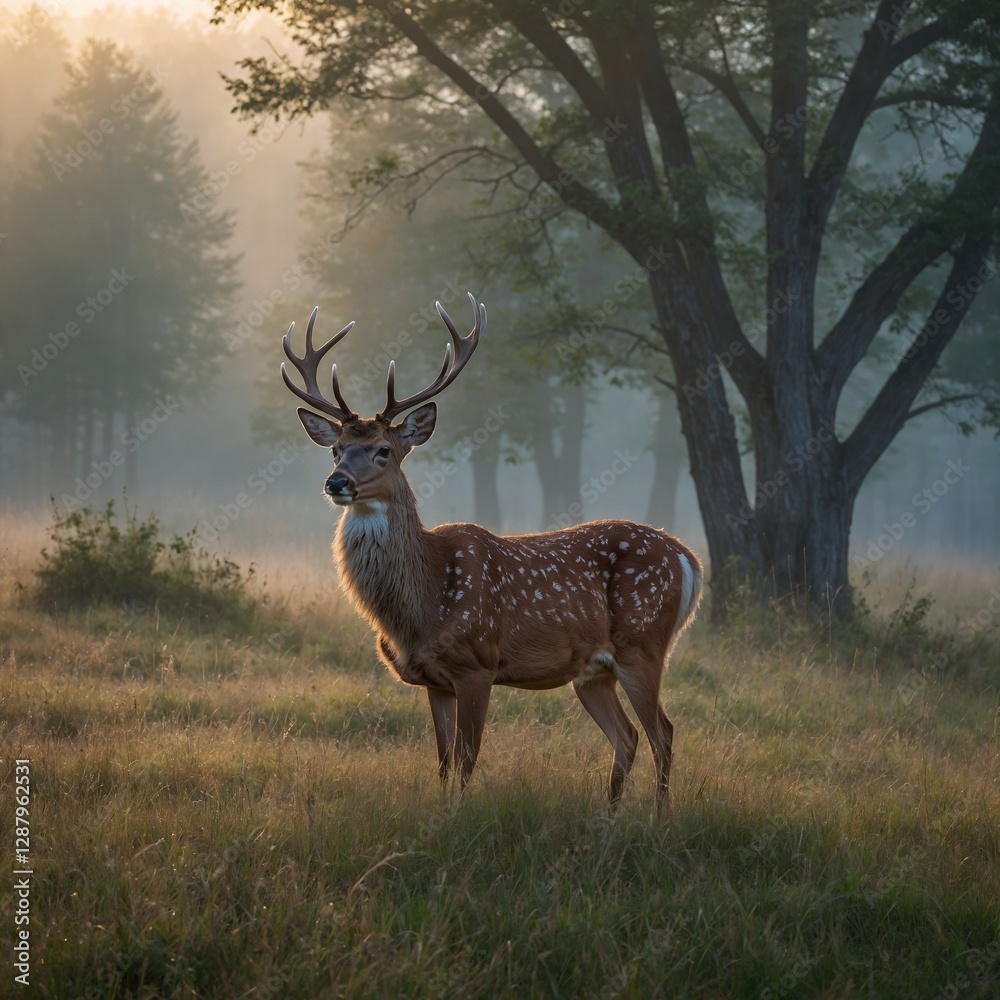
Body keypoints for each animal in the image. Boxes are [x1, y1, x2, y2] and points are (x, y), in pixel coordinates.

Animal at [281, 293, 702, 810]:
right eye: (336, 448)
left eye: (383, 449)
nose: (337, 482)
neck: (422, 603)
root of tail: (688, 558)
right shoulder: (434, 681)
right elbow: (443, 763)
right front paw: (442, 812)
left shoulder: (477, 664)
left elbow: (466, 760)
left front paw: (458, 815)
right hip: (593, 671)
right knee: (627, 736)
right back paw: (610, 815)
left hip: (644, 642)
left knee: (663, 731)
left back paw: (659, 816)